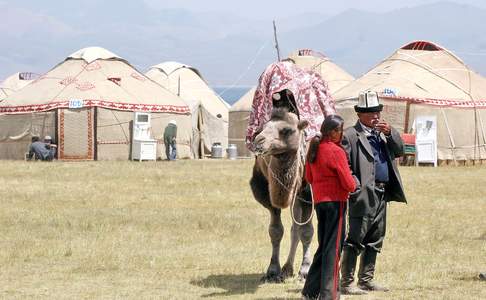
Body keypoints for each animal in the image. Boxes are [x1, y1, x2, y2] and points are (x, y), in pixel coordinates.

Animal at [251, 108, 316, 284]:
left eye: (287, 130)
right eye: (260, 129)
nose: (258, 141)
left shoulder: (308, 194)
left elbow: (307, 232)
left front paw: (305, 271)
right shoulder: (267, 195)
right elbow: (275, 231)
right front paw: (273, 271)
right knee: (295, 228)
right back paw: (287, 269)